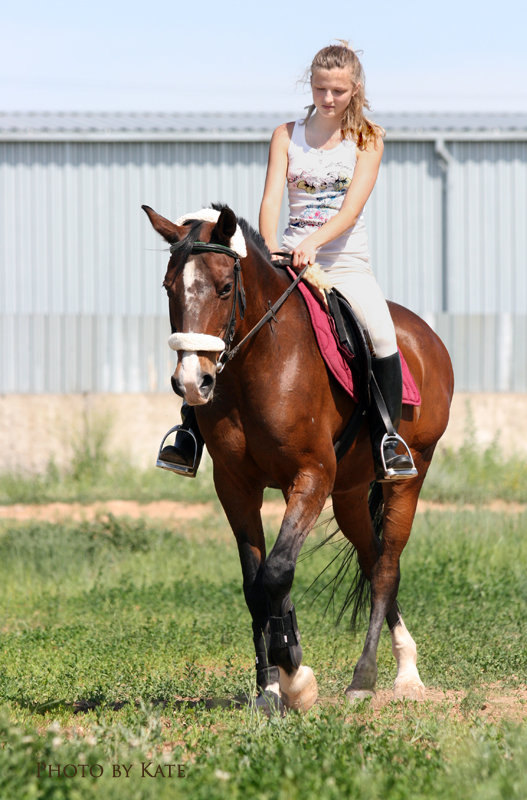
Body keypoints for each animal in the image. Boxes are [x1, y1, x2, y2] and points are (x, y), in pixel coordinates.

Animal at [143, 202, 454, 712]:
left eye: (224, 288)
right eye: (170, 288)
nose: (192, 382)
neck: (259, 363)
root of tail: (426, 336)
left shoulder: (310, 476)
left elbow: (277, 573)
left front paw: (295, 678)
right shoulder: (236, 486)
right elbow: (255, 583)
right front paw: (270, 687)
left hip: (408, 477)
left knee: (386, 568)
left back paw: (381, 678)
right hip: (348, 494)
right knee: (372, 561)